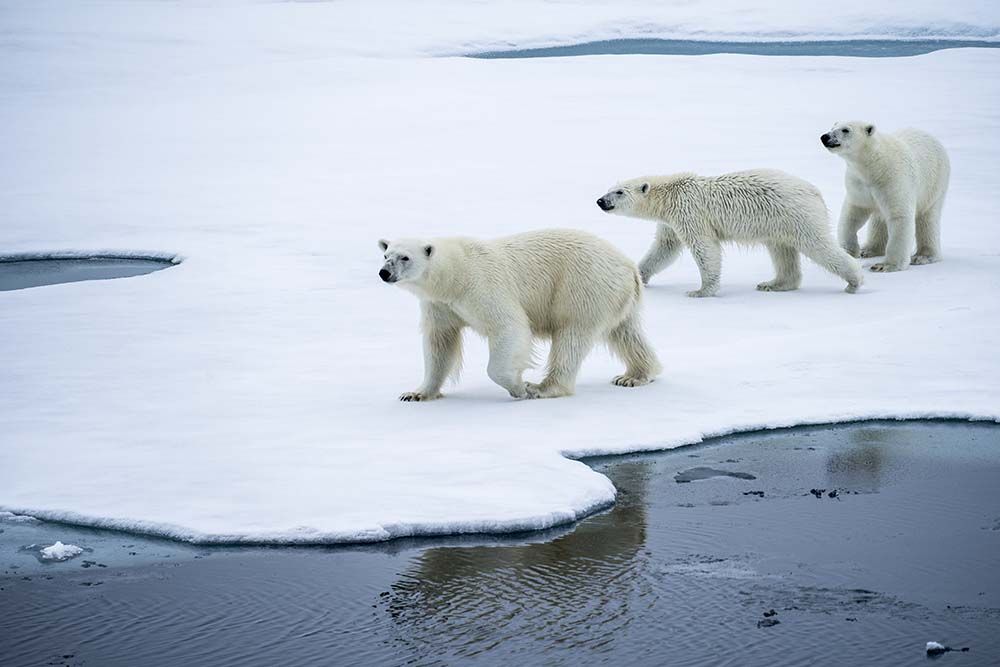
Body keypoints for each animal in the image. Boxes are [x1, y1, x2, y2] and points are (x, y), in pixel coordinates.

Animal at [378, 228, 660, 402]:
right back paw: (634, 375)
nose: (384, 272)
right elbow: (440, 343)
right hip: (615, 296)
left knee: (572, 336)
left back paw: (544, 387)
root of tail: (629, 266)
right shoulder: (440, 304)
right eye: (385, 254)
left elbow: (508, 327)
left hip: (583, 287)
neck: (453, 275)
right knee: (625, 333)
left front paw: (519, 387)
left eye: (405, 257)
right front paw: (416, 394)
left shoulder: (481, 286)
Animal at [596, 170, 864, 298]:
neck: (671, 193)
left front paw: (700, 291)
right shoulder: (671, 221)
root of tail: (814, 190)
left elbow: (704, 248)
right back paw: (773, 284)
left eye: (619, 192)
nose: (600, 201)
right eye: (609, 189)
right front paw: (639, 277)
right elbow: (664, 247)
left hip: (796, 214)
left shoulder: (689, 212)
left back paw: (854, 281)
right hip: (778, 222)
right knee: (781, 250)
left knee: (818, 244)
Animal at [820, 122, 952, 272]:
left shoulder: (894, 179)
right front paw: (849, 251)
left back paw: (923, 256)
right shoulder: (859, 183)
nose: (825, 137)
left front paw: (885, 265)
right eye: (832, 127)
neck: (874, 165)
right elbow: (853, 214)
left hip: (934, 184)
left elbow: (899, 217)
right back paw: (869, 249)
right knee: (878, 219)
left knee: (928, 218)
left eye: (845, 130)